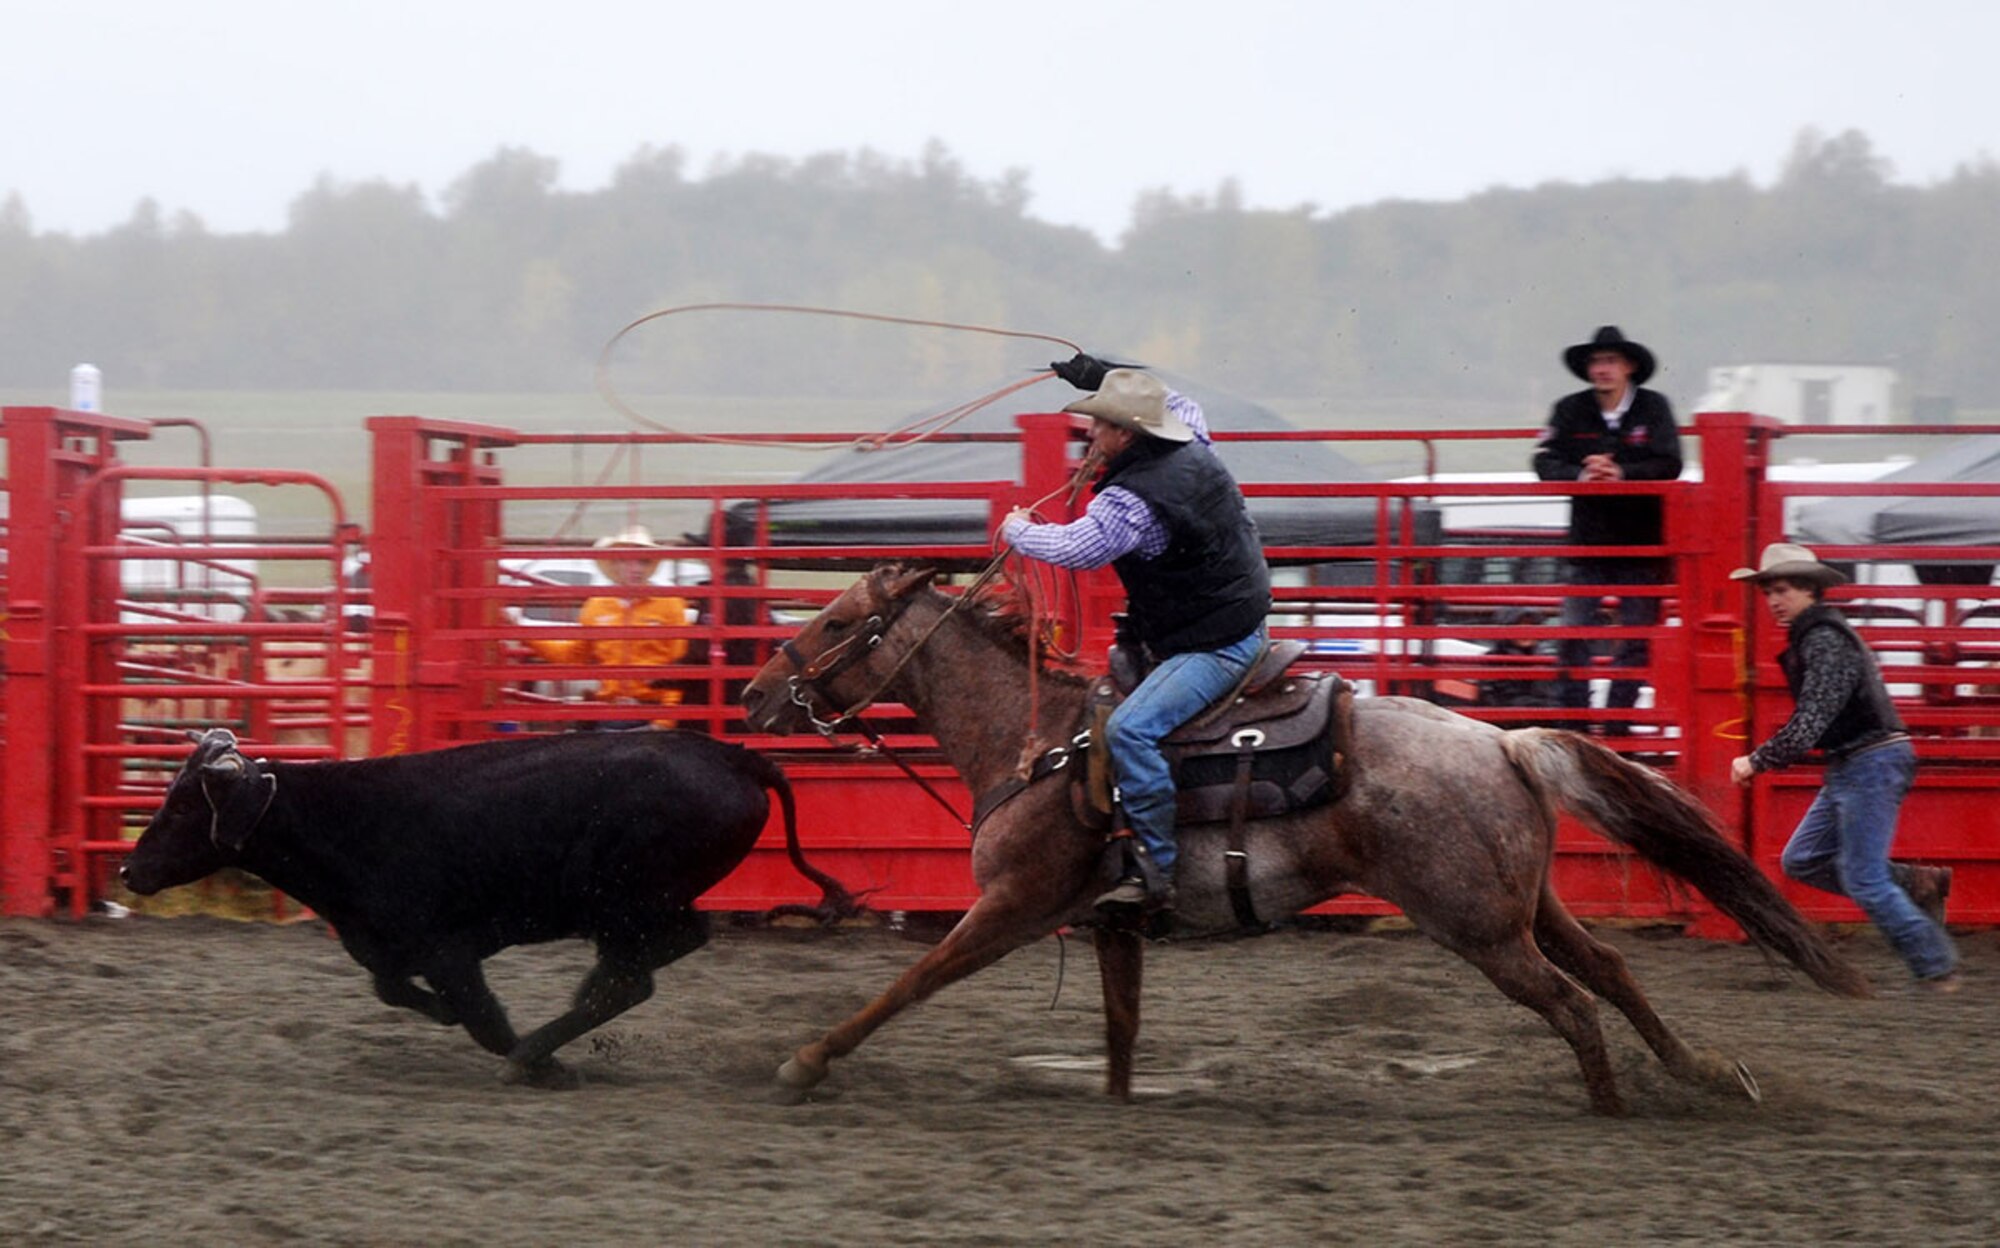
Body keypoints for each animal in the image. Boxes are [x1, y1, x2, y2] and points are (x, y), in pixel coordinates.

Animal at [121, 728, 858, 1087]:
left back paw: (541, 1047)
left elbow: (482, 1018)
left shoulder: (450, 951)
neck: (347, 824)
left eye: (183, 806)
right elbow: (393, 988)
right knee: (646, 964)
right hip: (629, 909)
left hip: (626, 902)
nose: (129, 869)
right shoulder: (393, 950)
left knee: (645, 969)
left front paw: (538, 1064)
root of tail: (736, 758)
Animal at [740, 565, 1870, 1115]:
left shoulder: (1012, 907)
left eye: (833, 623)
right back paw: (1703, 1075)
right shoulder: (1112, 926)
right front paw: (1118, 1106)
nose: (751, 694)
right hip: (1523, 904)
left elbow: (910, 983)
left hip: (1475, 927)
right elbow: (1120, 1028)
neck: (1036, 739)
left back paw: (1611, 1109)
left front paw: (803, 1063)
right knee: (1608, 971)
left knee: (1571, 1004)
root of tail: (1501, 742)